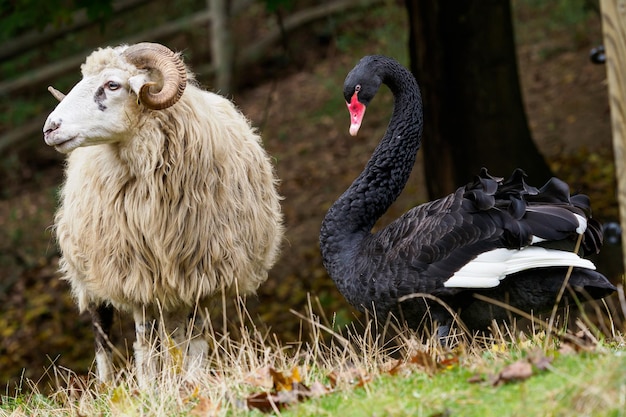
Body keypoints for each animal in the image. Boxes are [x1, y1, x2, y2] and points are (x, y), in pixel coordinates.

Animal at [40, 42, 282, 384]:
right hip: (90, 273)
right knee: (103, 336)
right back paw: (108, 387)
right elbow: (145, 344)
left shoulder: (201, 276)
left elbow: (195, 340)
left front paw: (193, 383)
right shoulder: (135, 277)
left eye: (112, 85)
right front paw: (149, 387)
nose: (50, 128)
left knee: (176, 335)